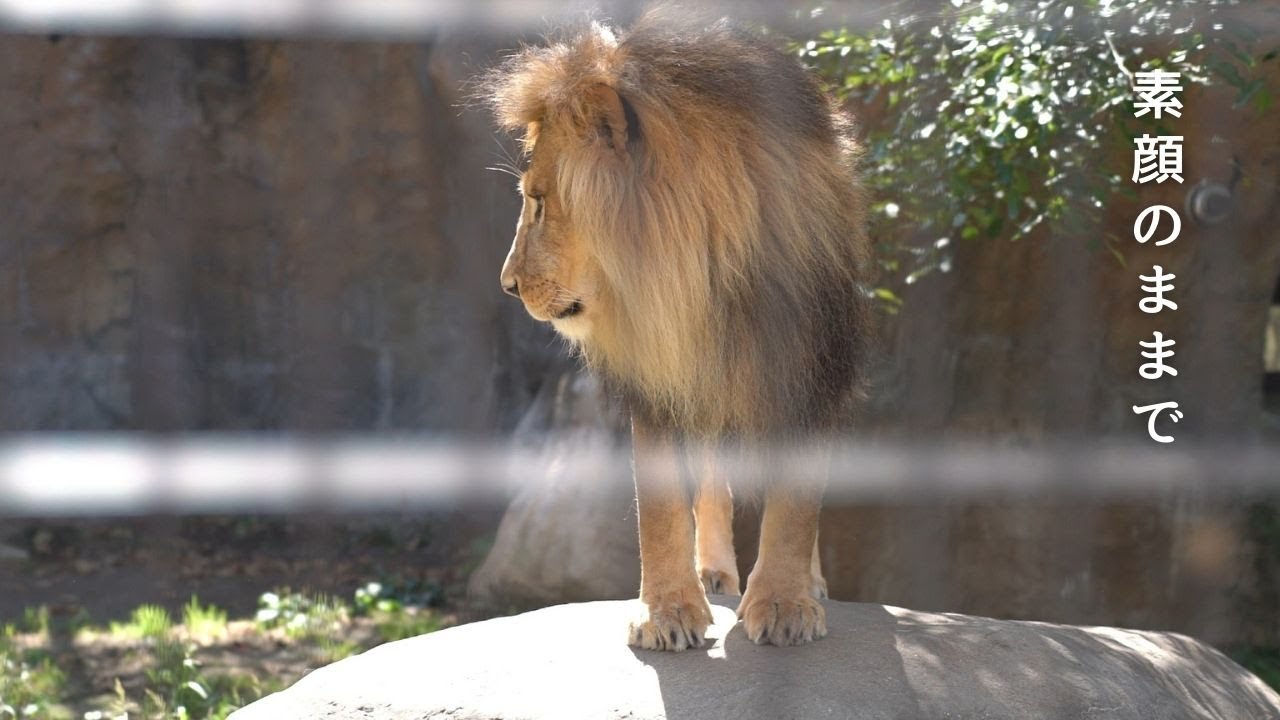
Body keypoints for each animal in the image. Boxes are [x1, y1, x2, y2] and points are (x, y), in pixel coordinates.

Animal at [484, 9, 872, 650]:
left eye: (539, 200)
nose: (508, 284)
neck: (697, 277)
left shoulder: (812, 361)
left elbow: (796, 504)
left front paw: (786, 603)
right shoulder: (654, 369)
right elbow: (661, 506)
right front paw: (667, 612)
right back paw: (712, 572)